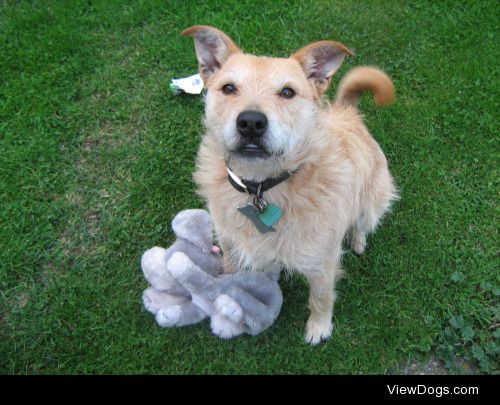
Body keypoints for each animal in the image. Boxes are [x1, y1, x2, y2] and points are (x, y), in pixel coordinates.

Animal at [182, 25, 396, 342]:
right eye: (229, 88)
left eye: (287, 92)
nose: (251, 122)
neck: (261, 187)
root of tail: (348, 114)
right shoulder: (230, 243)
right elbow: (232, 272)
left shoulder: (322, 262)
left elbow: (321, 298)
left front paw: (319, 328)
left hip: (374, 200)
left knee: (362, 221)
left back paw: (357, 239)